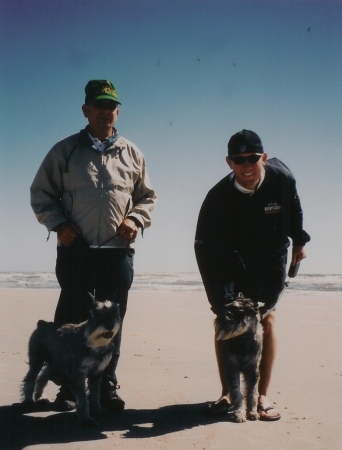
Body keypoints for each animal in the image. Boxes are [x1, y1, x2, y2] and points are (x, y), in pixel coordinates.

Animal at [20, 294, 120, 428]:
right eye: (98, 315)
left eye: (115, 313)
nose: (109, 326)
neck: (94, 344)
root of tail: (42, 323)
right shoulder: (79, 374)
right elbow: (83, 399)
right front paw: (86, 419)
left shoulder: (96, 373)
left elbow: (95, 394)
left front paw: (97, 410)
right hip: (37, 361)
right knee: (30, 379)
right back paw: (28, 401)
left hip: (55, 363)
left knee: (42, 376)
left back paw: (40, 397)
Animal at [215, 294, 264, 424]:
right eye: (226, 307)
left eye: (238, 310)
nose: (221, 320)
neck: (243, 338)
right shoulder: (233, 368)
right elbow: (237, 392)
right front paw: (239, 413)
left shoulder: (253, 370)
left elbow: (252, 392)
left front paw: (252, 412)